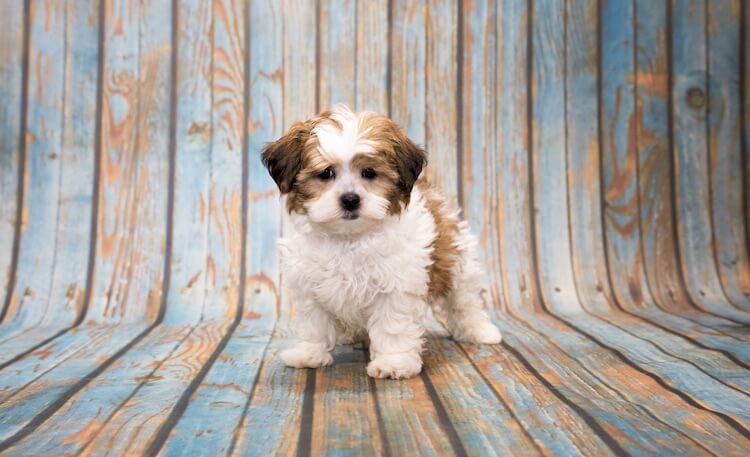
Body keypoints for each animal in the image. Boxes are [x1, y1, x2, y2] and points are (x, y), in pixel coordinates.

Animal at [262, 105, 502, 380]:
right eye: (326, 173)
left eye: (369, 173)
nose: (350, 199)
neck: (348, 237)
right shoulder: (309, 285)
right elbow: (313, 323)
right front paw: (309, 353)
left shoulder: (396, 286)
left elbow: (392, 327)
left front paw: (393, 362)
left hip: (458, 261)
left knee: (465, 301)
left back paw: (480, 330)